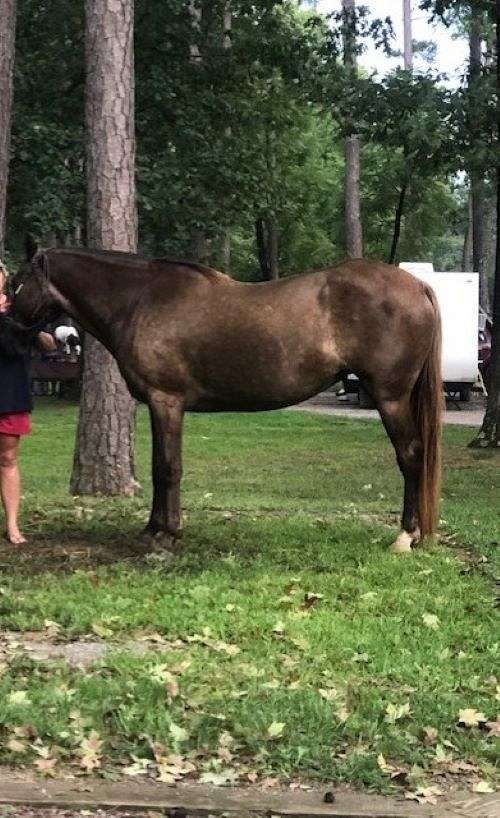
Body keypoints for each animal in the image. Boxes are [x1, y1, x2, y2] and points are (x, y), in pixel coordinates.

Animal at [11, 247, 442, 556]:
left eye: (17, 282)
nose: (13, 325)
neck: (140, 299)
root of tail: (417, 286)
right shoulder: (159, 405)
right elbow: (158, 466)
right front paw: (152, 528)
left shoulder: (166, 401)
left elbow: (168, 468)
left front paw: (166, 534)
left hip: (390, 398)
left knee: (410, 455)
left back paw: (405, 537)